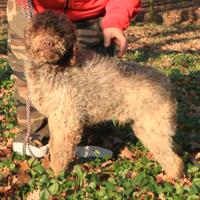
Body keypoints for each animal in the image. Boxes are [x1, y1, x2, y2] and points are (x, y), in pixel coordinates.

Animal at [24, 10, 184, 178]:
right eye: (37, 29)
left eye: (61, 32)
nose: (48, 42)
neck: (55, 67)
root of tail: (166, 82)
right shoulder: (56, 119)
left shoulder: (67, 121)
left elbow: (59, 151)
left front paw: (56, 174)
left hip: (152, 127)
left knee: (173, 159)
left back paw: (170, 177)